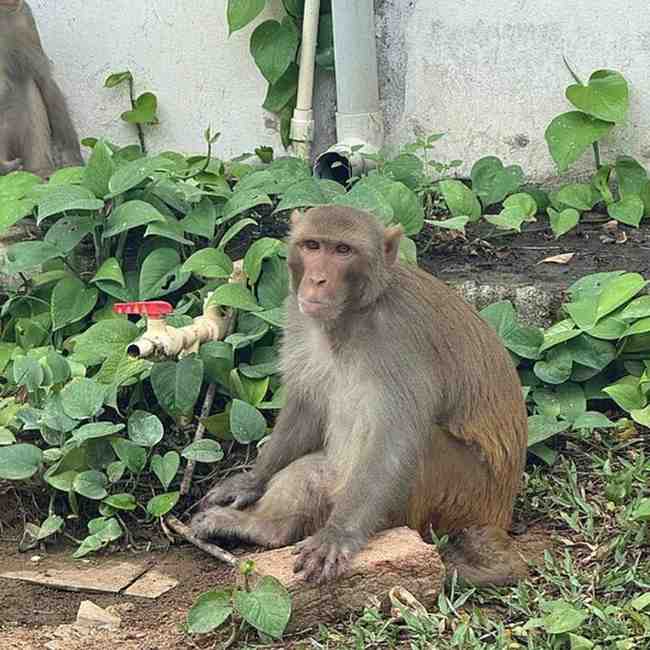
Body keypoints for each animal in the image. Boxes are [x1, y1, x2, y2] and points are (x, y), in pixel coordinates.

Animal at [191, 205, 529, 586]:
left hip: (456, 499)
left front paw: (338, 534)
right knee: (314, 473)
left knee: (423, 443)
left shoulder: (401, 339)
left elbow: (392, 442)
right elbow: (306, 408)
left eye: (343, 250)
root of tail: (497, 516)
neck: (353, 315)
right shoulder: (297, 315)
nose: (317, 280)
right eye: (312, 246)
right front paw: (251, 481)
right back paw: (264, 529)